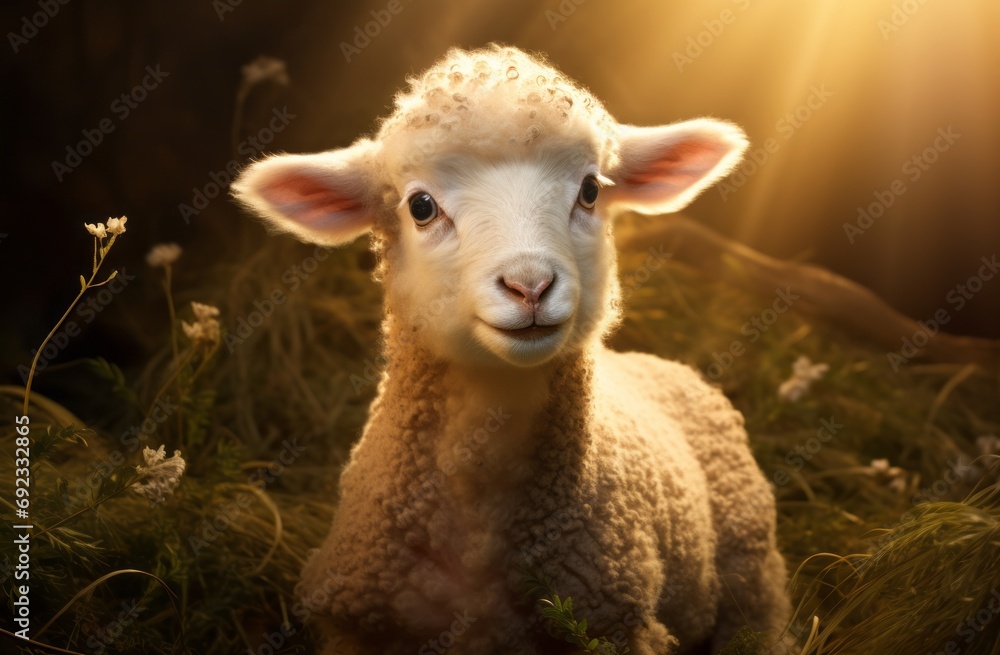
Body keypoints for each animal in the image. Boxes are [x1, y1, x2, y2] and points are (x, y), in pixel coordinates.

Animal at [232, 44, 791, 655]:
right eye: (421, 206)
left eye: (590, 190)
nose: (530, 286)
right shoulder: (354, 625)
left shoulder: (621, 626)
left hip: (750, 561)